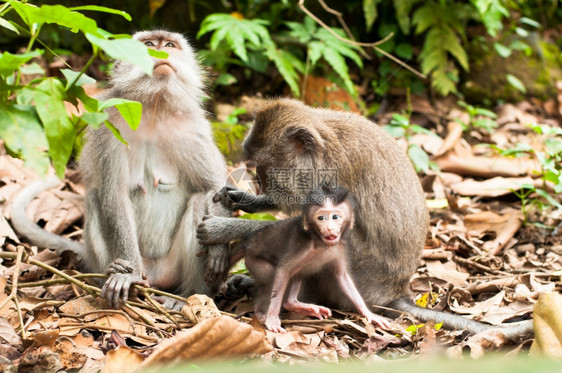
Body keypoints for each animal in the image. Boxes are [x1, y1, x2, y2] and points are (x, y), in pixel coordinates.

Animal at [10, 29, 228, 308]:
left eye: (169, 45)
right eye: (149, 44)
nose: (160, 51)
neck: (154, 106)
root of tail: (156, 276)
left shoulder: (193, 127)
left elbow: (213, 188)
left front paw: (219, 246)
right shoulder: (108, 124)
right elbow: (114, 194)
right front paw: (128, 275)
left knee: (200, 200)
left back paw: (188, 297)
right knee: (96, 198)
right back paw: (119, 277)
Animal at [230, 186, 392, 332]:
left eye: (335, 217)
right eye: (321, 218)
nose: (329, 228)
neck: (321, 243)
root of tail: (249, 244)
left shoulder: (339, 249)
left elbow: (343, 277)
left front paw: (369, 313)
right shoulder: (303, 247)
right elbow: (283, 271)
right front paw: (272, 318)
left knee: (297, 276)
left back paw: (297, 305)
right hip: (254, 262)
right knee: (272, 277)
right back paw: (260, 311)